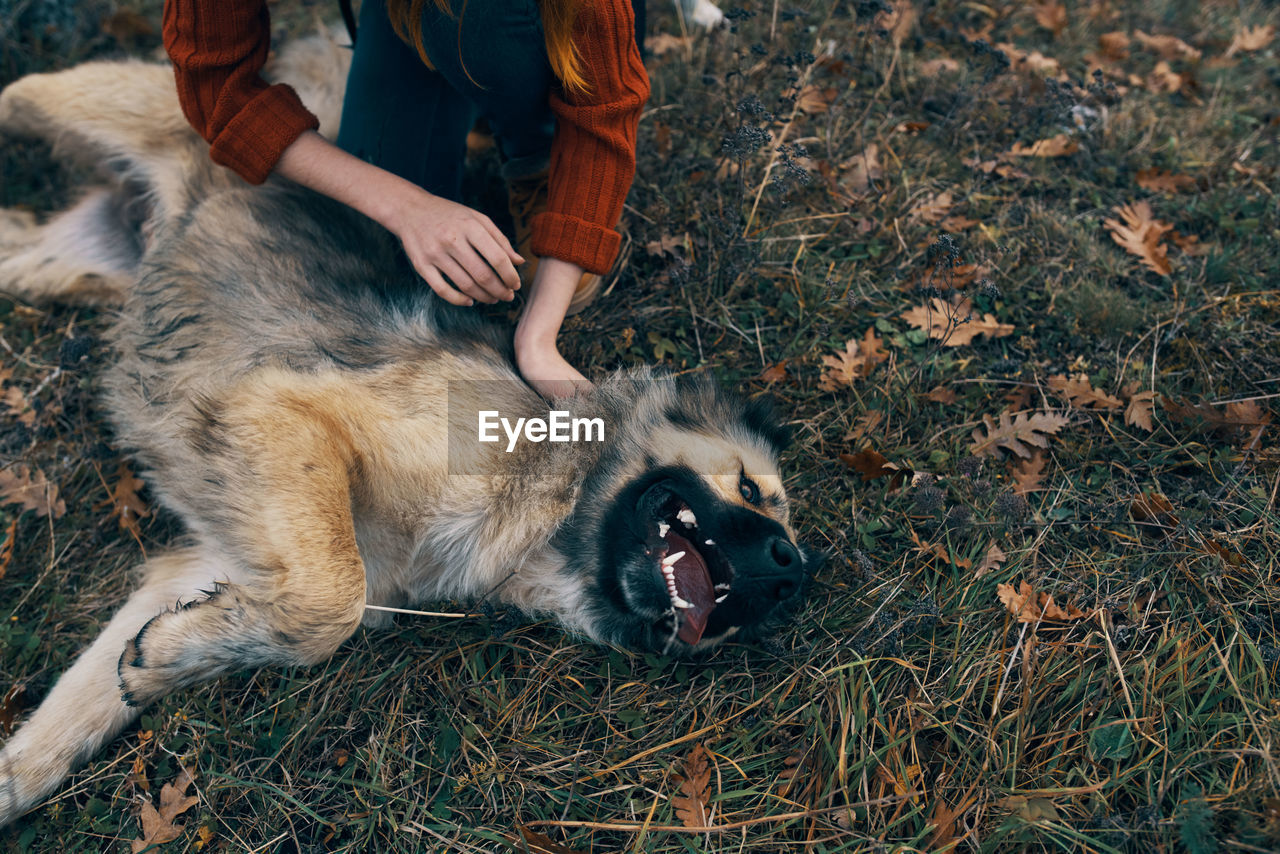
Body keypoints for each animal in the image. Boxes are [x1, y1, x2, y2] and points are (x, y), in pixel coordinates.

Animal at [0, 38, 819, 819]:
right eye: (751, 490)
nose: (793, 573)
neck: (557, 503)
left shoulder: (213, 562)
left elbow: (75, 714)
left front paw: (154, 667)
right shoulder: (290, 415)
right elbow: (333, 602)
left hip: (50, 263)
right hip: (116, 102)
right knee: (22, 91)